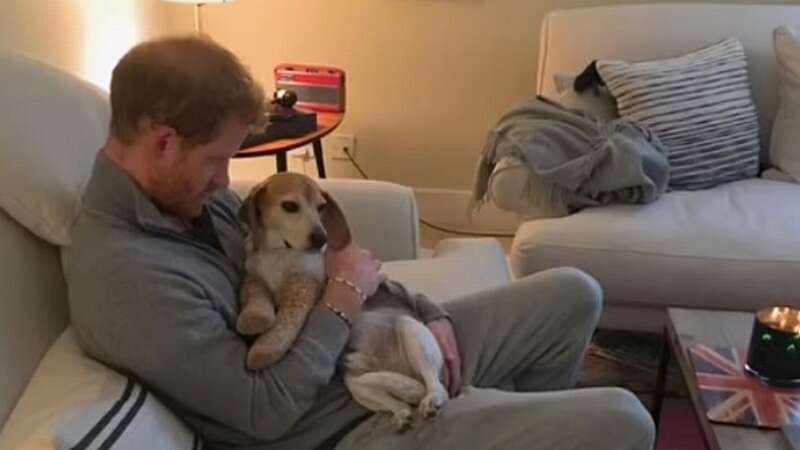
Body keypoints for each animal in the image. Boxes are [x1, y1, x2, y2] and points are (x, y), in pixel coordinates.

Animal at [238, 172, 450, 428]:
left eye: (321, 207)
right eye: (289, 206)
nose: (322, 238)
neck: (278, 254)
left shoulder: (306, 285)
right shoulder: (257, 279)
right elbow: (259, 296)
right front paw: (255, 320)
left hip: (409, 329)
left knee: (435, 385)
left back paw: (432, 400)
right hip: (356, 384)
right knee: (398, 400)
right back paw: (401, 414)